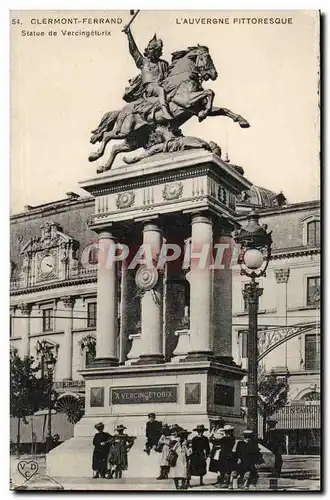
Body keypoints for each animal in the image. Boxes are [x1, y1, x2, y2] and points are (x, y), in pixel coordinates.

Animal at [89, 47, 249, 172]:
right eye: (206, 58)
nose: (214, 74)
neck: (182, 80)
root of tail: (121, 110)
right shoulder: (187, 101)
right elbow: (210, 92)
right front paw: (202, 115)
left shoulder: (195, 106)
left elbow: (222, 109)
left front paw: (242, 121)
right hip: (124, 130)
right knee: (107, 136)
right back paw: (95, 156)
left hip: (135, 139)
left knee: (116, 147)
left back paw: (104, 167)